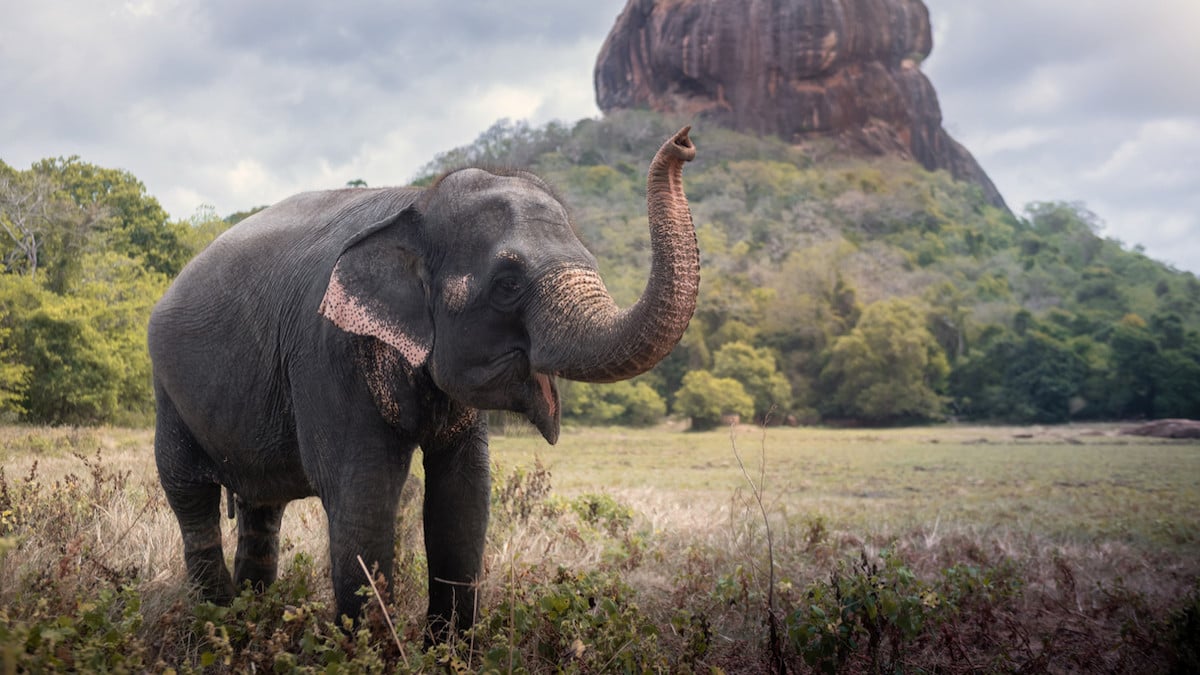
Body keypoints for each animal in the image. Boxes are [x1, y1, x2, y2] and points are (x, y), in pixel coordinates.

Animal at [147, 127, 699, 637]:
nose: (685, 141)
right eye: (507, 285)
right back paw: (213, 621)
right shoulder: (328, 352)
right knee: (190, 496)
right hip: (167, 391)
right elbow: (362, 494)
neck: (415, 204)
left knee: (261, 509)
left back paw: (249, 622)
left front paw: (449, 649)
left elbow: (463, 494)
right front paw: (370, 651)